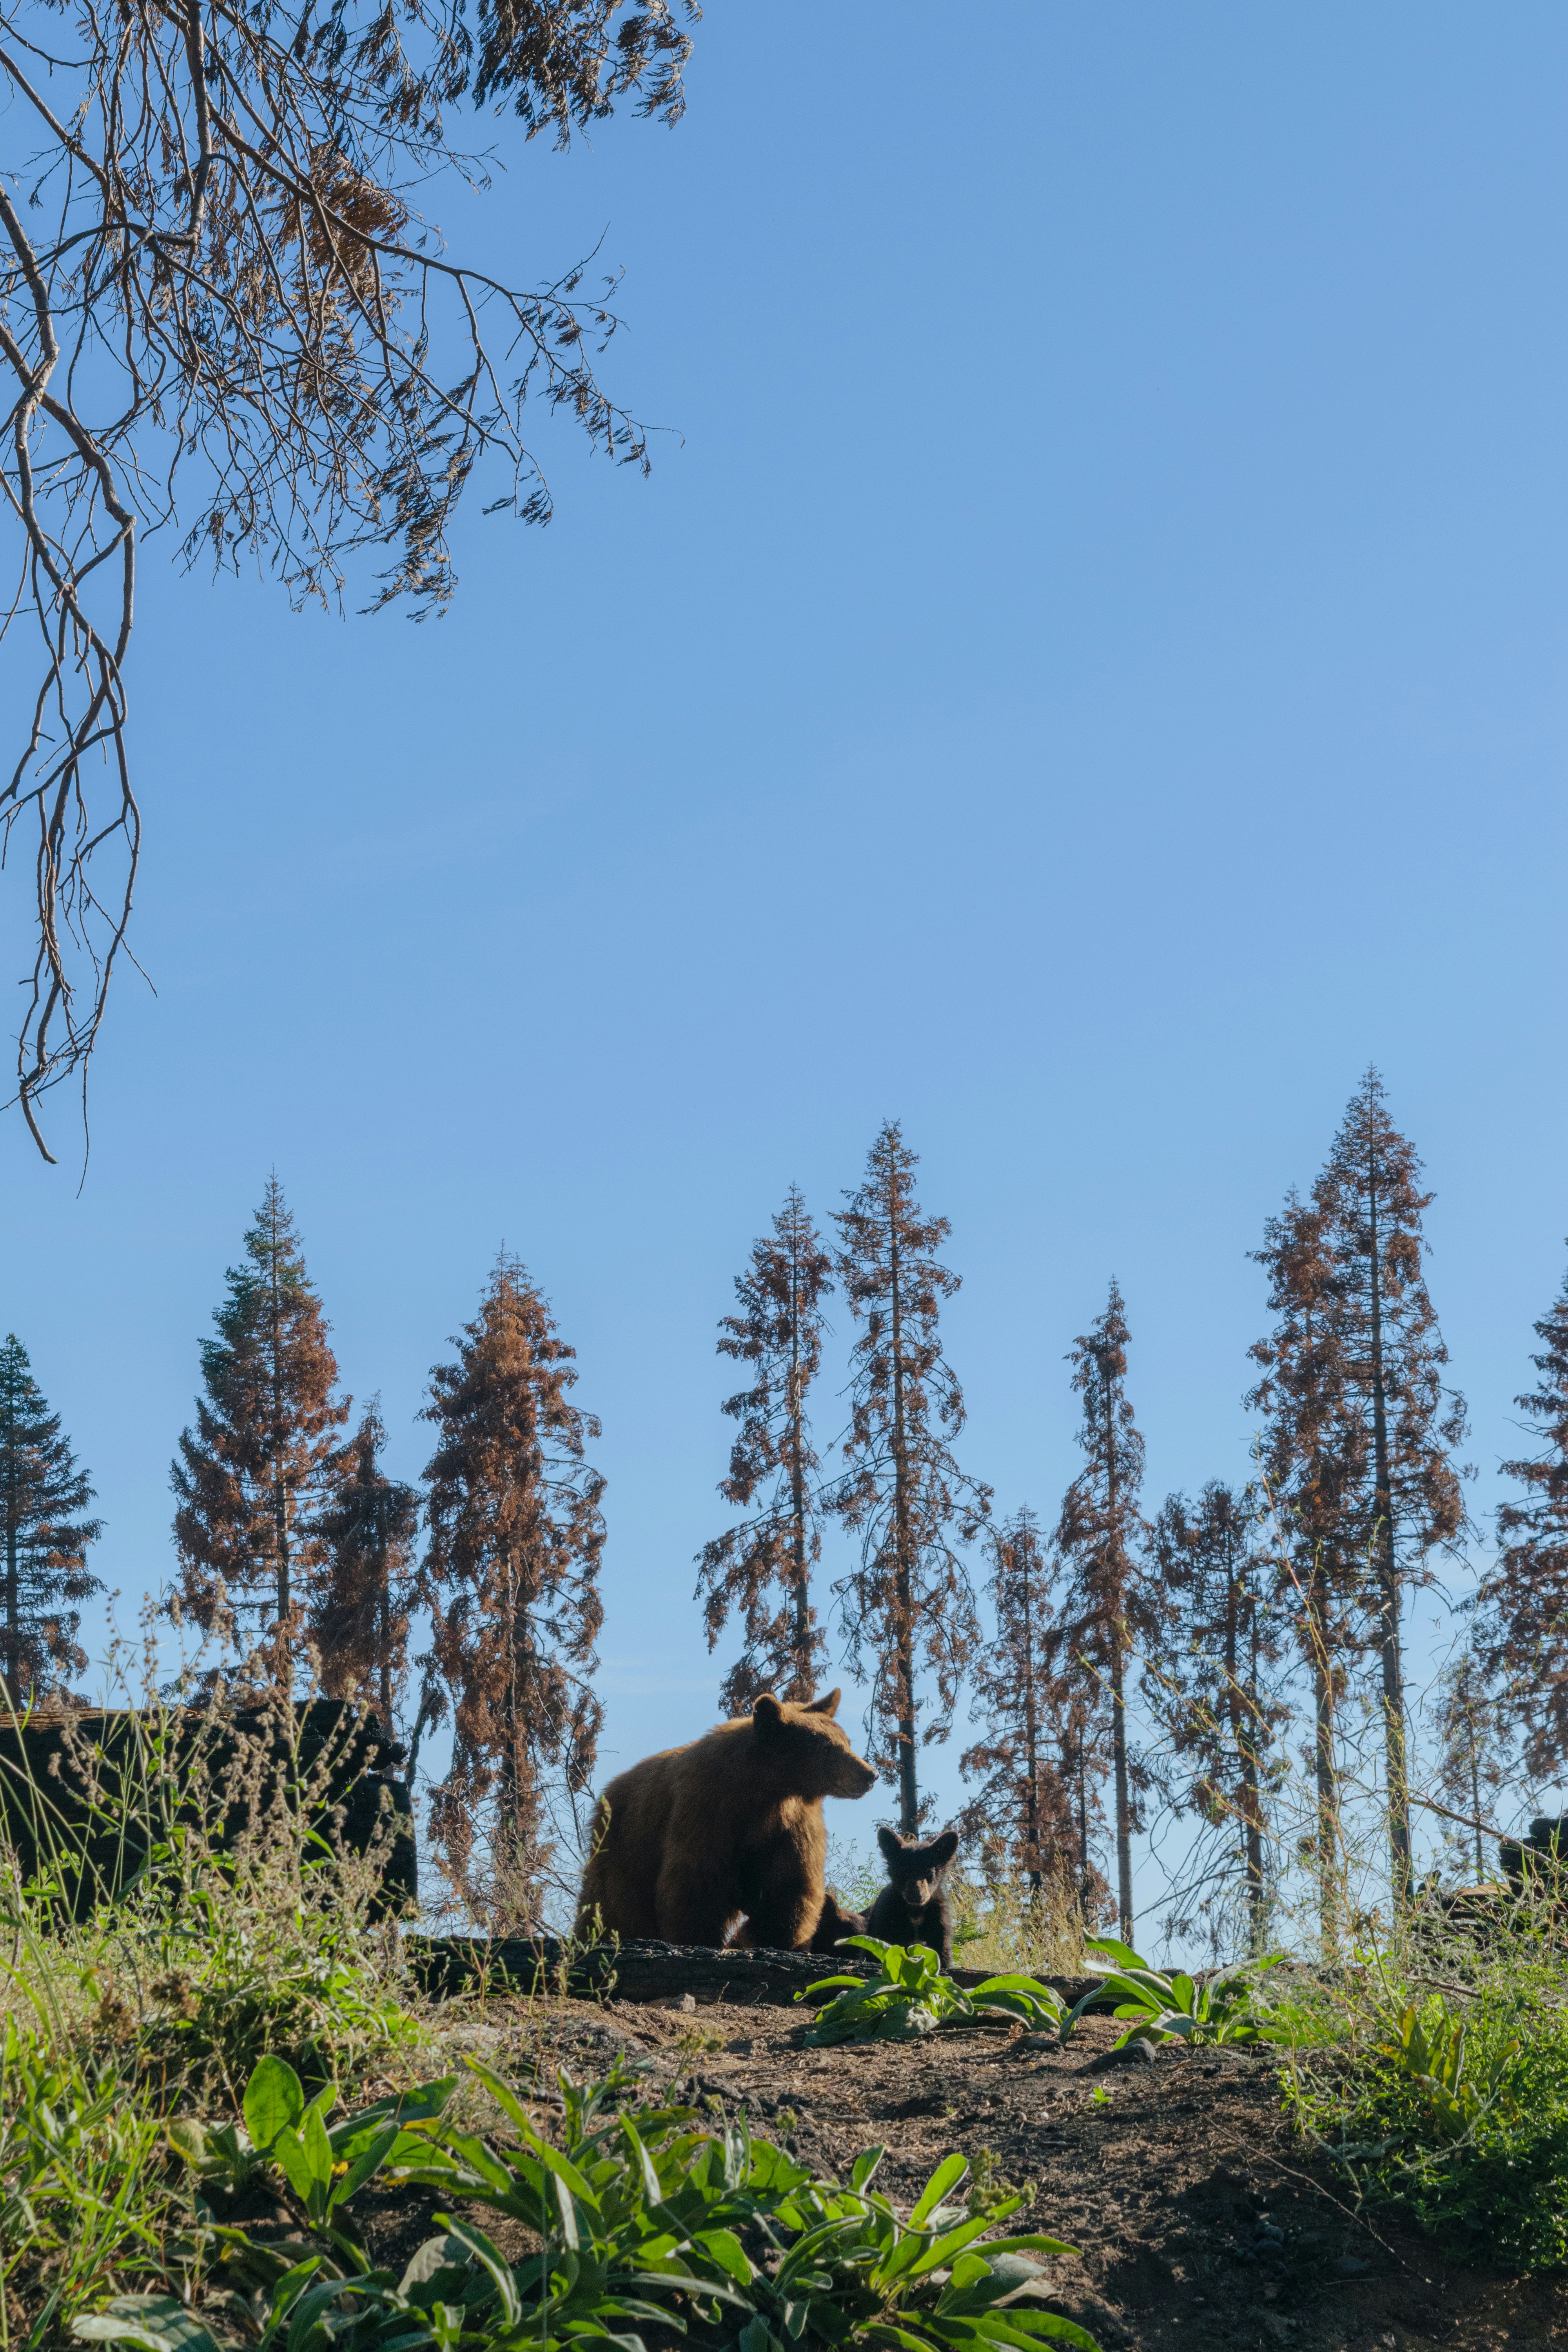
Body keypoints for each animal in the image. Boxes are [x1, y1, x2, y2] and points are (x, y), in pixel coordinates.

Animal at [574, 1689, 877, 1951]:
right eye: (827, 1747)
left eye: (847, 1742)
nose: (869, 1774)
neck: (766, 1792)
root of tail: (611, 1789)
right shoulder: (710, 1811)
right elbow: (697, 1881)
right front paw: (700, 1937)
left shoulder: (790, 1827)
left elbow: (789, 1887)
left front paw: (772, 1937)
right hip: (627, 1843)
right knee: (613, 1903)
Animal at [864, 1824, 960, 1966]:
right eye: (903, 1873)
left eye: (929, 1873)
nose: (917, 1895)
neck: (915, 1911)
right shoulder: (886, 1919)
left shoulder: (939, 1918)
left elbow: (943, 1952)